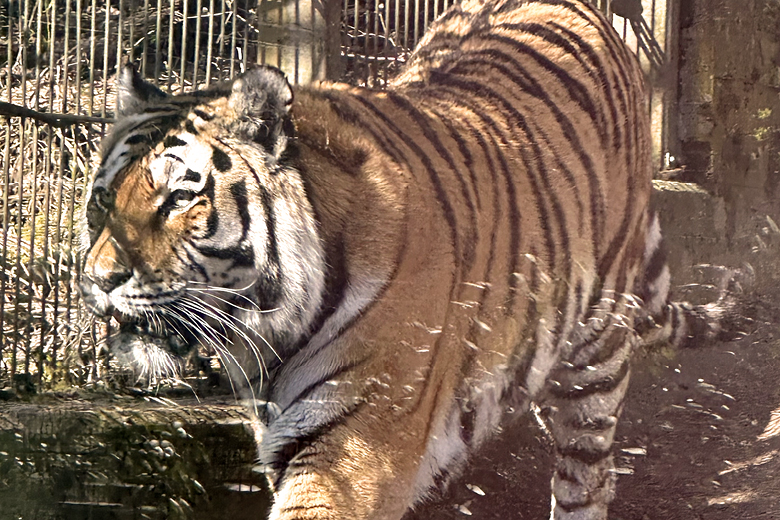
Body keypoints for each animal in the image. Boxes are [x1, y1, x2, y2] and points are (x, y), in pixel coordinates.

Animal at [78, 0, 728, 518]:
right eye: (103, 199)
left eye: (177, 200)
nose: (99, 279)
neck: (267, 331)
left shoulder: (352, 451)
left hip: (598, 353)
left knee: (585, 476)